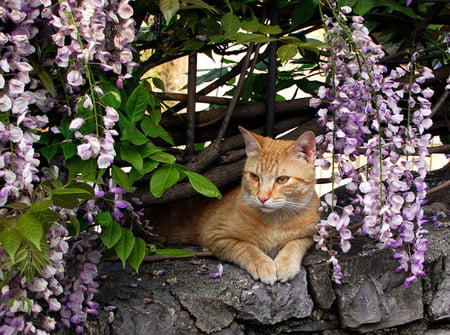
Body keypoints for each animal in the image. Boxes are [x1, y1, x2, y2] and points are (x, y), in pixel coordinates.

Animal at [149, 127, 322, 284]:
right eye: (254, 177)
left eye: (282, 179)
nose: (262, 198)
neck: (276, 221)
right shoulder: (215, 235)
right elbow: (246, 248)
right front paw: (263, 264)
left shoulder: (310, 234)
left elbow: (295, 244)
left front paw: (285, 264)